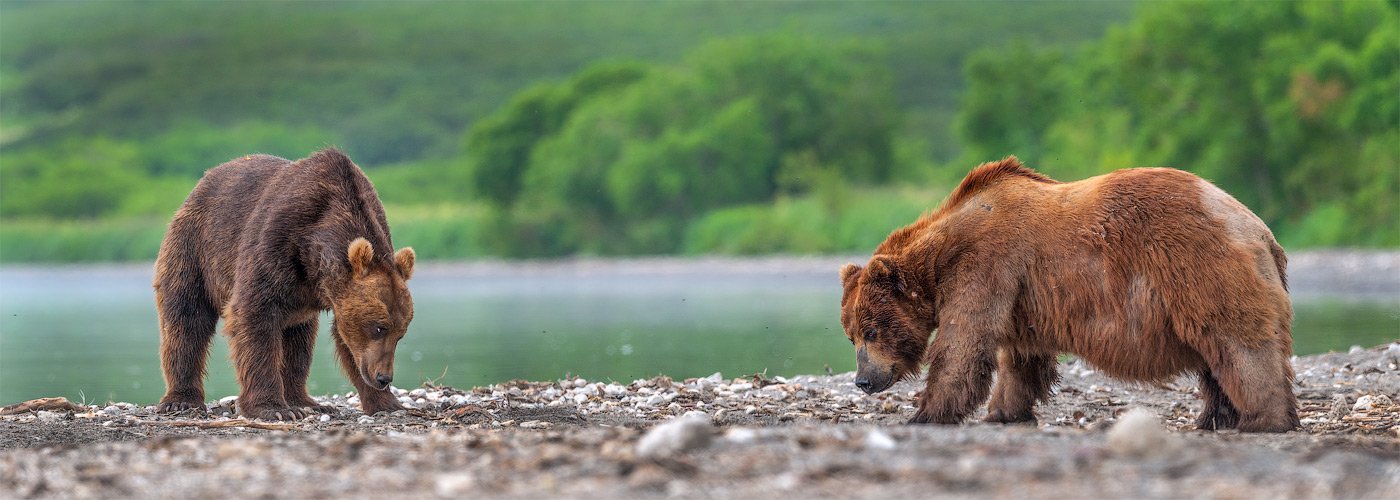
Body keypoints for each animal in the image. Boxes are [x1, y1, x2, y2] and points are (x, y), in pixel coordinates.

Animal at [156, 149, 414, 420]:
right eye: (378, 327)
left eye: (400, 333)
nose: (384, 377)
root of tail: (203, 181)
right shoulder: (275, 241)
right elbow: (254, 316)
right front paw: (272, 408)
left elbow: (348, 341)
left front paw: (388, 403)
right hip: (194, 248)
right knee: (187, 319)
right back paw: (181, 400)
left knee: (298, 339)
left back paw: (305, 401)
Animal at [834, 157, 1293, 431]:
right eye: (851, 334)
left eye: (871, 331)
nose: (863, 380)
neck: (943, 253)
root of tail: (1259, 228)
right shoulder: (1020, 297)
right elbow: (1020, 360)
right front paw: (1004, 411)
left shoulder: (987, 265)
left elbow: (962, 344)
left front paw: (926, 413)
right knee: (1216, 359)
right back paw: (1215, 417)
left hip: (1200, 268)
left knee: (1239, 344)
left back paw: (1264, 419)